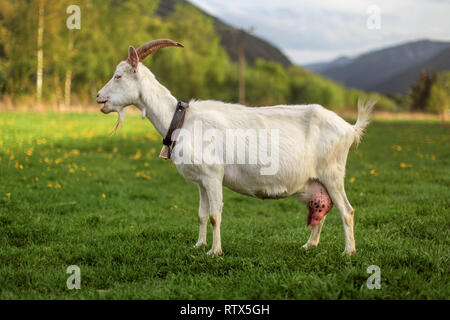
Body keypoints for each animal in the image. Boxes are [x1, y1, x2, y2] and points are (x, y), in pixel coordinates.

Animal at [96, 39, 374, 255]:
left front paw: (215, 252)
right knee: (322, 209)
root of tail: (349, 129)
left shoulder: (213, 175)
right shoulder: (201, 181)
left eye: (118, 76)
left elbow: (215, 215)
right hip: (315, 181)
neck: (182, 120)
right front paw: (198, 246)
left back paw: (349, 251)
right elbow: (201, 214)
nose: (99, 97)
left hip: (332, 173)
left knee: (347, 210)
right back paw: (309, 245)